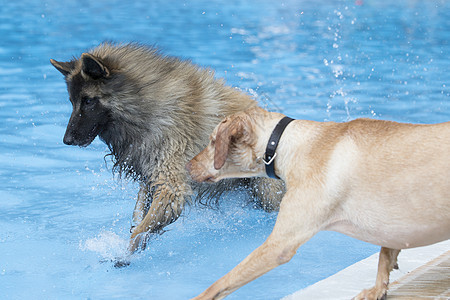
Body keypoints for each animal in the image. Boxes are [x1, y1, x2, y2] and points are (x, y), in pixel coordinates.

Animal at [51, 42, 284, 258]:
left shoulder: (171, 184)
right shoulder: (151, 172)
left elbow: (143, 226)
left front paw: (125, 255)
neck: (144, 102)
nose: (67, 140)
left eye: (88, 101)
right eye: (72, 101)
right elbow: (139, 212)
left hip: (266, 192)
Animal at [186, 106, 450, 298]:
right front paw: (378, 288)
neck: (286, 145)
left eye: (212, 141)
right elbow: (385, 255)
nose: (188, 165)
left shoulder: (278, 245)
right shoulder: (393, 227)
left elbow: (221, 282)